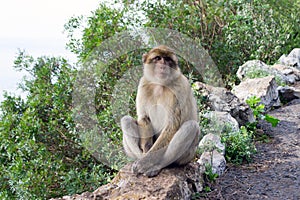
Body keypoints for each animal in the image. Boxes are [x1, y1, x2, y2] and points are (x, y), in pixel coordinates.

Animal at [120, 45, 200, 177]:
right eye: (158, 58)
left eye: (167, 59)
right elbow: (143, 118)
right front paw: (144, 156)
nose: (163, 65)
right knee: (125, 120)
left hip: (187, 156)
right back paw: (139, 158)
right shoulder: (143, 84)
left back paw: (156, 165)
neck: (159, 84)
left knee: (191, 126)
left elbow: (172, 125)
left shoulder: (180, 87)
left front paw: (145, 162)